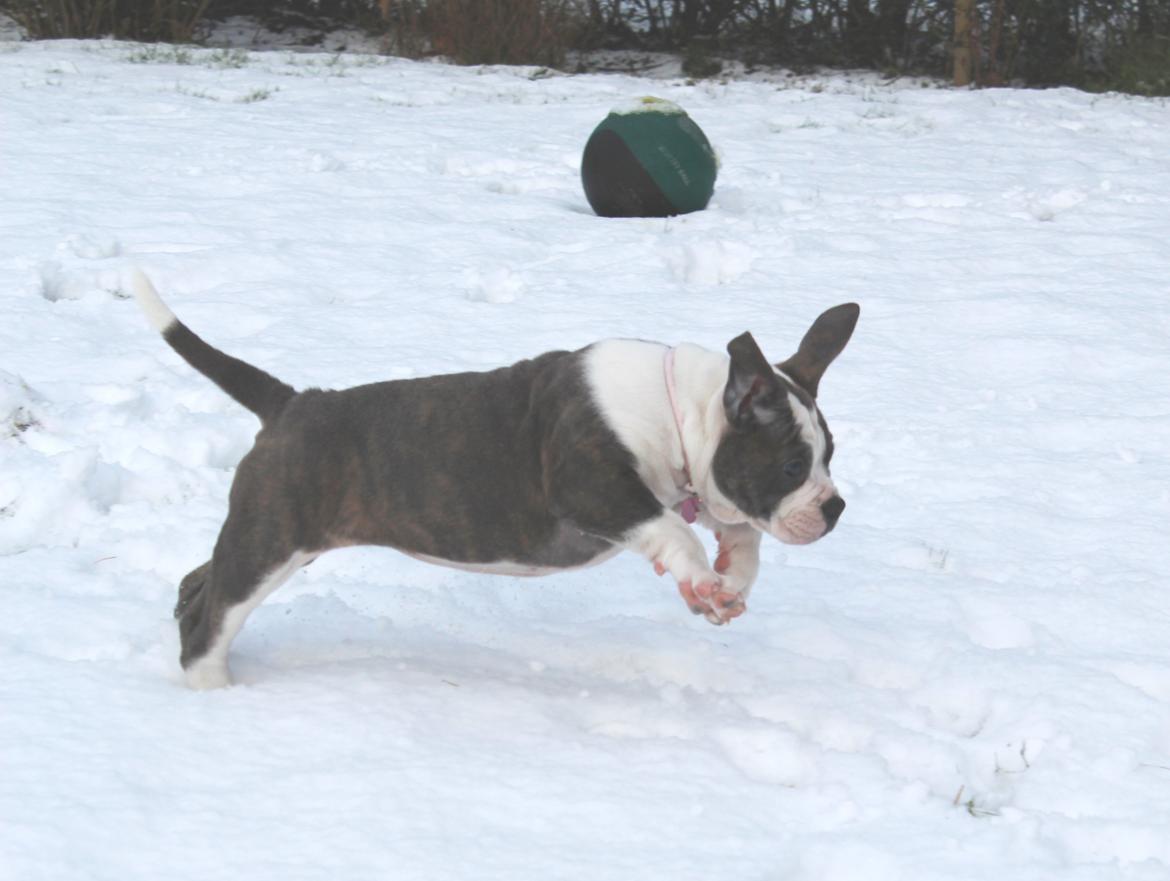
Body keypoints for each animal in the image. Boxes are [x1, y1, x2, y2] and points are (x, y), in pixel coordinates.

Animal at [132, 270, 856, 687]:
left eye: (832, 456)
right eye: (793, 464)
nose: (835, 508)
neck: (682, 409)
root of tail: (293, 401)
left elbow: (739, 531)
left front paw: (729, 577)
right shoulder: (588, 483)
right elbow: (669, 529)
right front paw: (706, 579)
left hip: (270, 531)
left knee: (198, 584)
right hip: (272, 536)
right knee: (214, 615)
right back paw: (214, 691)